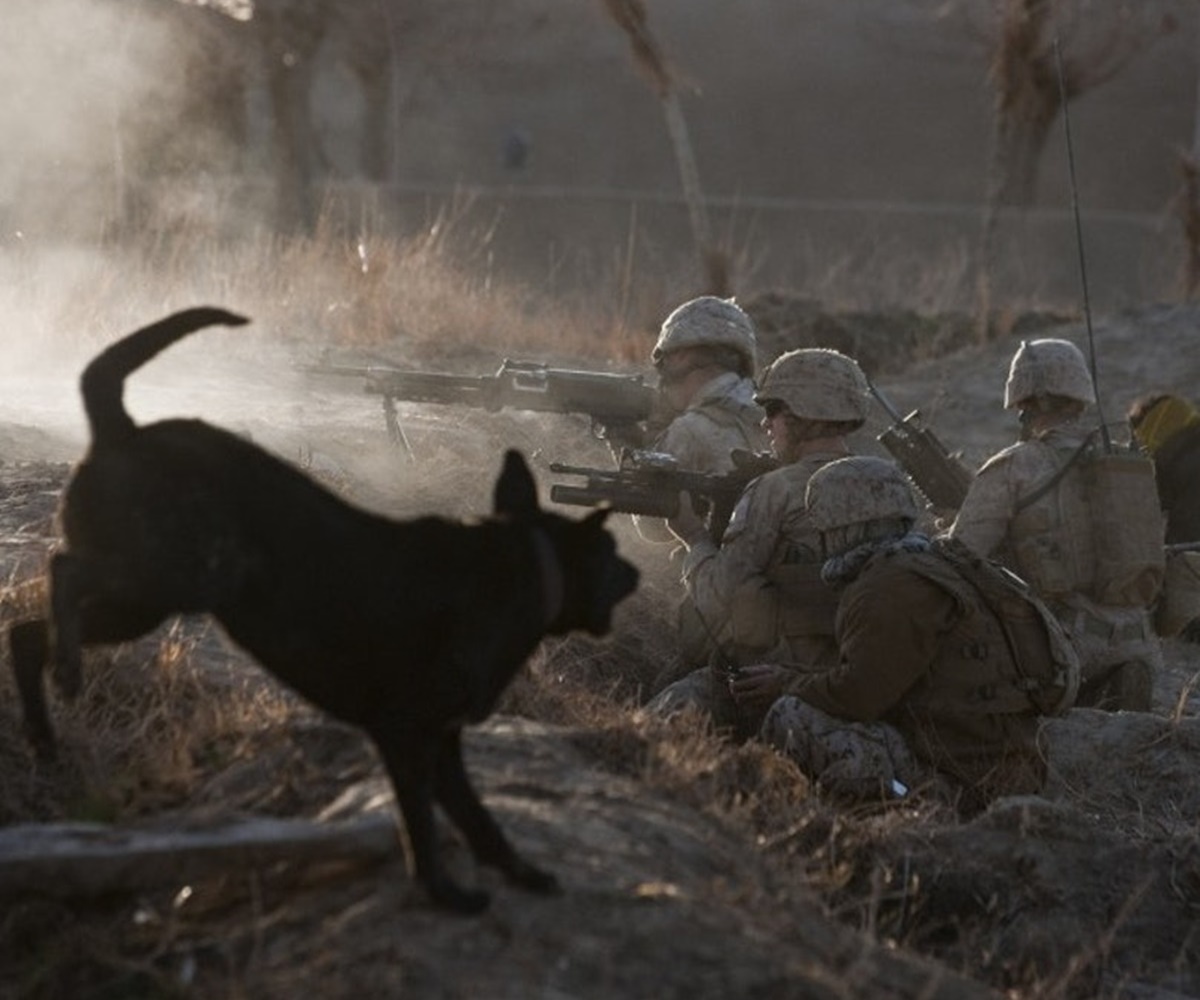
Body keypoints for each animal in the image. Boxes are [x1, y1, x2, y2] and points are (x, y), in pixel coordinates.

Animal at [7, 306, 638, 912]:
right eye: (609, 555)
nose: (634, 572)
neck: (515, 564)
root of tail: (122, 430)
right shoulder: (406, 734)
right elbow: (423, 822)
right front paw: (446, 891)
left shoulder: (440, 742)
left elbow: (476, 819)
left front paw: (517, 875)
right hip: (165, 580)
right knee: (64, 570)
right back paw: (66, 673)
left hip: (142, 599)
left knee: (27, 630)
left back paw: (45, 729)